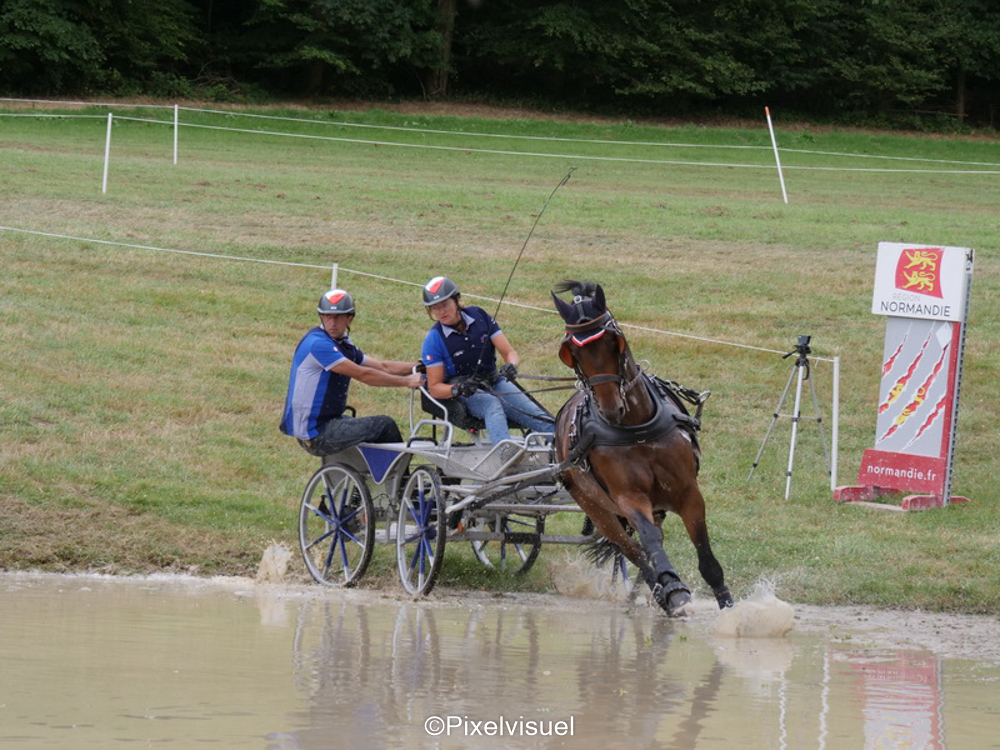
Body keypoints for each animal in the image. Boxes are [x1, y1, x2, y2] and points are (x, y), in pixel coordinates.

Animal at [551, 280, 734, 616]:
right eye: (574, 353)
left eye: (613, 341)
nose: (610, 407)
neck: (635, 430)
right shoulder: (628, 497)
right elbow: (647, 542)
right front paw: (672, 587)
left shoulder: (688, 491)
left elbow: (707, 558)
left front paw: (729, 607)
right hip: (596, 508)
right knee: (634, 550)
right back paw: (664, 590)